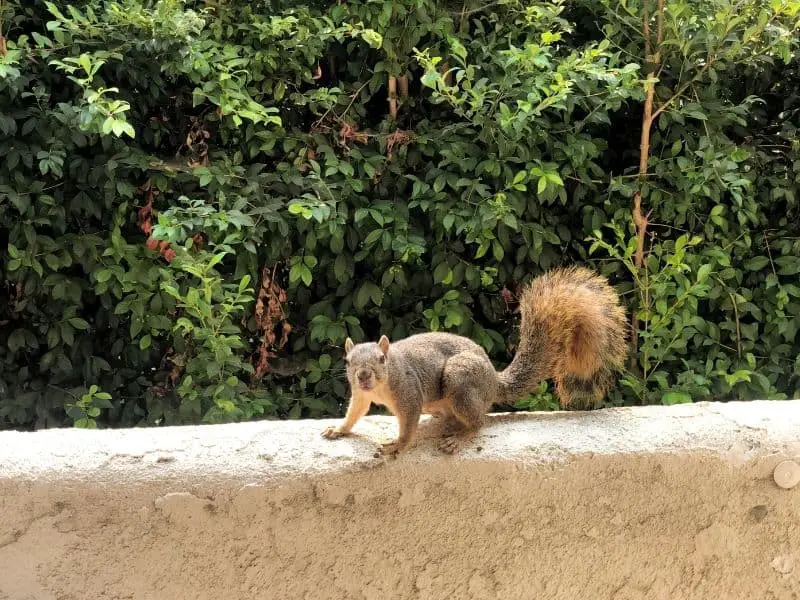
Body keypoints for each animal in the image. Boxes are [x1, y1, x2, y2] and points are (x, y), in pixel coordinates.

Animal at [322, 266, 628, 454]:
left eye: (381, 359)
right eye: (348, 361)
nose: (363, 375)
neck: (380, 387)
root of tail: (493, 381)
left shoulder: (408, 394)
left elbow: (408, 424)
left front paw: (398, 444)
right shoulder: (361, 396)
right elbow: (355, 412)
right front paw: (339, 429)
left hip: (460, 378)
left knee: (479, 421)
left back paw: (460, 436)